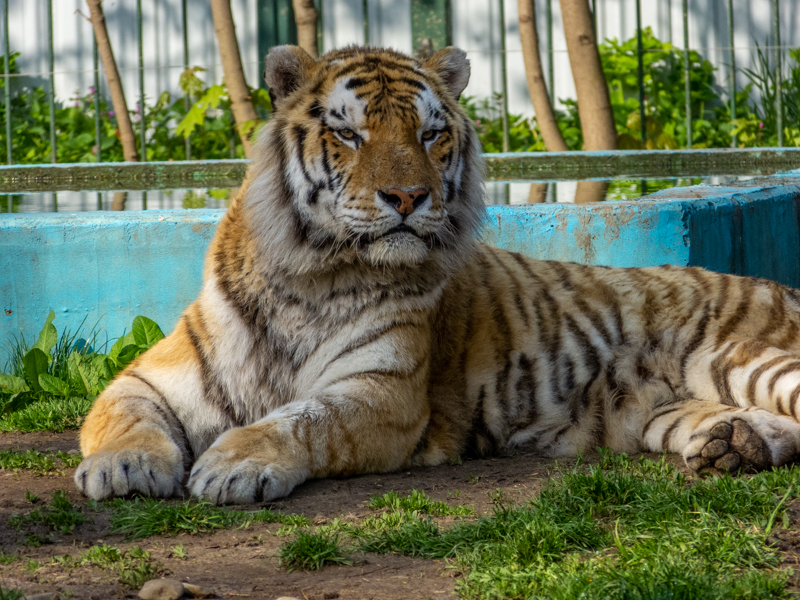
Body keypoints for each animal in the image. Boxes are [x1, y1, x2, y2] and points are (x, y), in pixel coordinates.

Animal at [75, 44, 800, 504]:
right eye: (349, 133)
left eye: (429, 134)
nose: (407, 197)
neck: (313, 276)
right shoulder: (154, 374)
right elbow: (119, 415)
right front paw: (122, 467)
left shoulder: (381, 394)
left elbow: (300, 420)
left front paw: (233, 464)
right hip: (670, 411)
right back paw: (735, 445)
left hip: (742, 359)